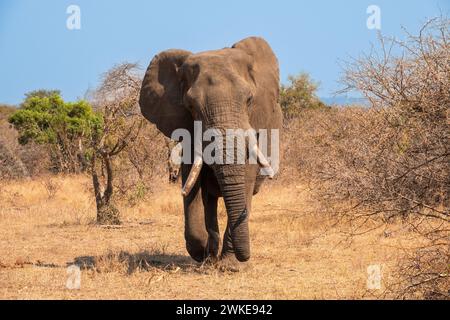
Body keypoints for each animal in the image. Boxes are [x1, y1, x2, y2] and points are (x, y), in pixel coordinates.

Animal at [139, 36, 284, 264]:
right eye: (191, 106)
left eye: (249, 100)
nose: (245, 257)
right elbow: (193, 181)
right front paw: (204, 253)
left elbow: (246, 177)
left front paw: (231, 265)